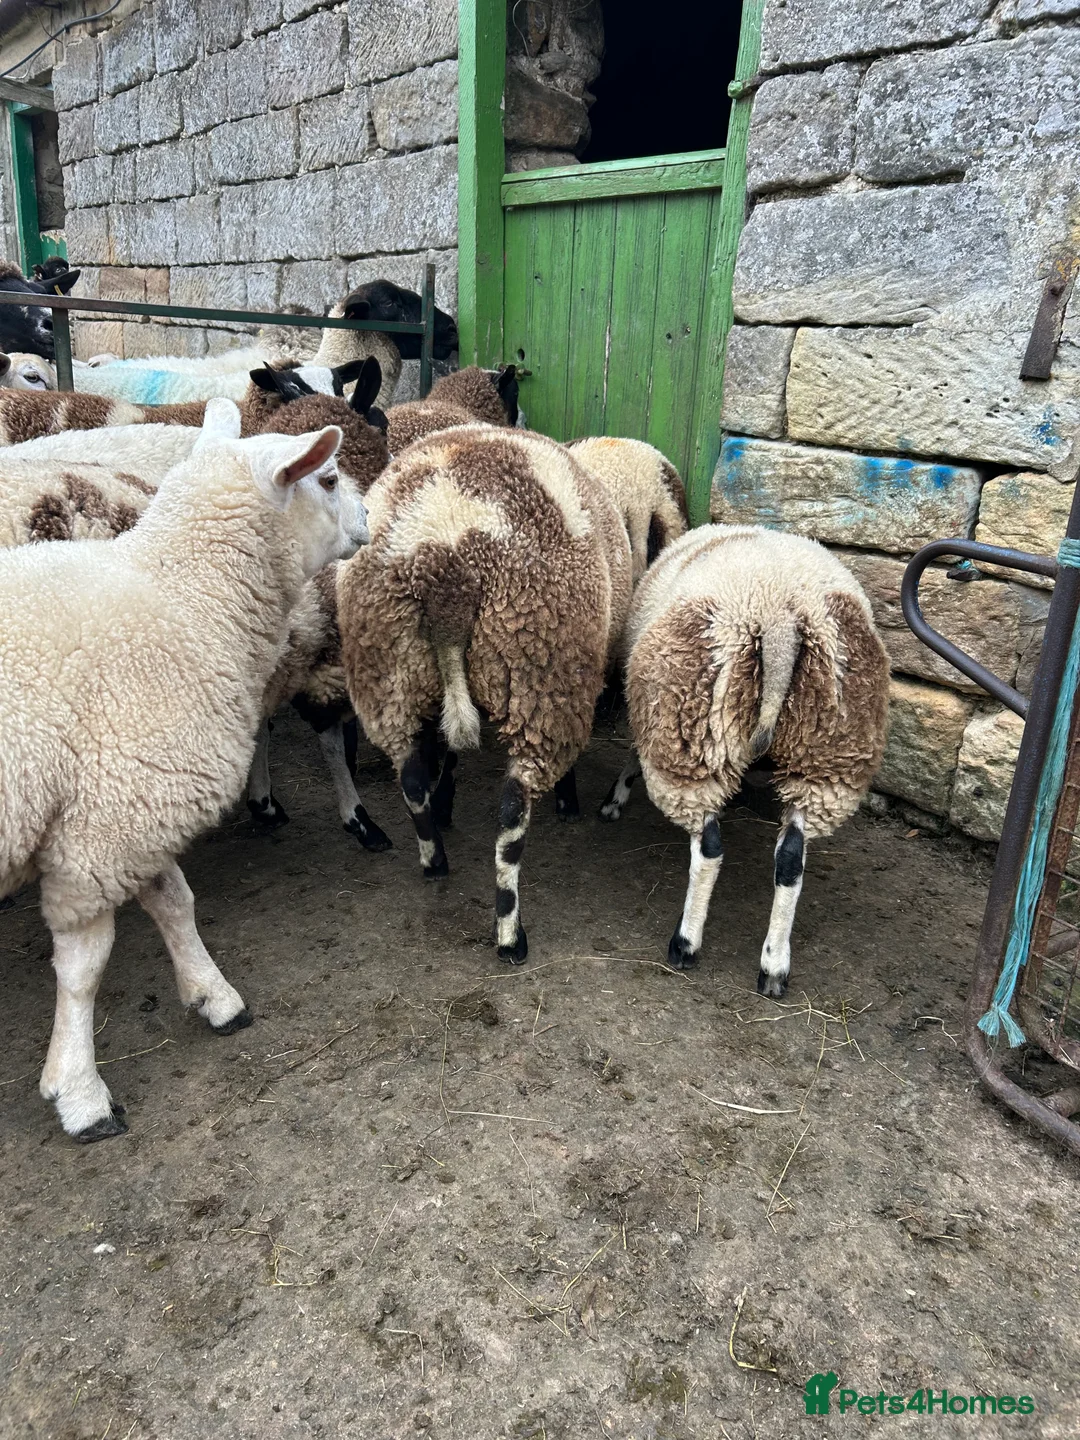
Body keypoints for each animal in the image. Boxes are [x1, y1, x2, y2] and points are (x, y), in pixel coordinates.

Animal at [0, 398, 365, 1142]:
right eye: (330, 478)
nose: (372, 518)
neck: (187, 598)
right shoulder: (102, 833)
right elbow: (84, 969)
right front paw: (79, 1092)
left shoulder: (135, 797)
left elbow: (175, 901)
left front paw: (213, 995)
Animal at [338, 424, 632, 964]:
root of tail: (445, 563)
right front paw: (568, 800)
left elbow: (447, 755)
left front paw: (446, 802)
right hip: (545, 674)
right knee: (513, 808)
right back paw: (510, 934)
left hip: (388, 671)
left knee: (410, 773)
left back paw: (434, 859)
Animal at [601, 524, 890, 995]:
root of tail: (781, 621)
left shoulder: (650, 712)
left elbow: (631, 750)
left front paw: (615, 798)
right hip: (827, 755)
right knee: (790, 860)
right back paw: (773, 965)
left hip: (692, 733)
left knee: (709, 850)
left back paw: (686, 943)